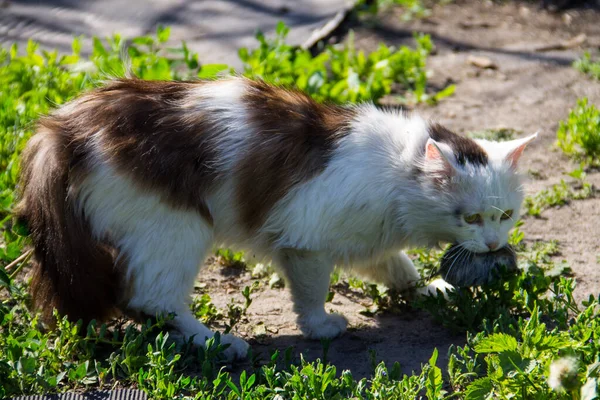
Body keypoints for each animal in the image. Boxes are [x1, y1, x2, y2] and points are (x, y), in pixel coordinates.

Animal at [16, 76, 536, 360]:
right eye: (471, 219)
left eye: (506, 216)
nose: (493, 245)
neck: (396, 171)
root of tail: (62, 127)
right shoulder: (307, 241)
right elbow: (311, 295)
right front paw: (321, 327)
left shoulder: (366, 237)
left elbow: (396, 266)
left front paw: (429, 288)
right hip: (178, 229)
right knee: (152, 298)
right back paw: (217, 343)